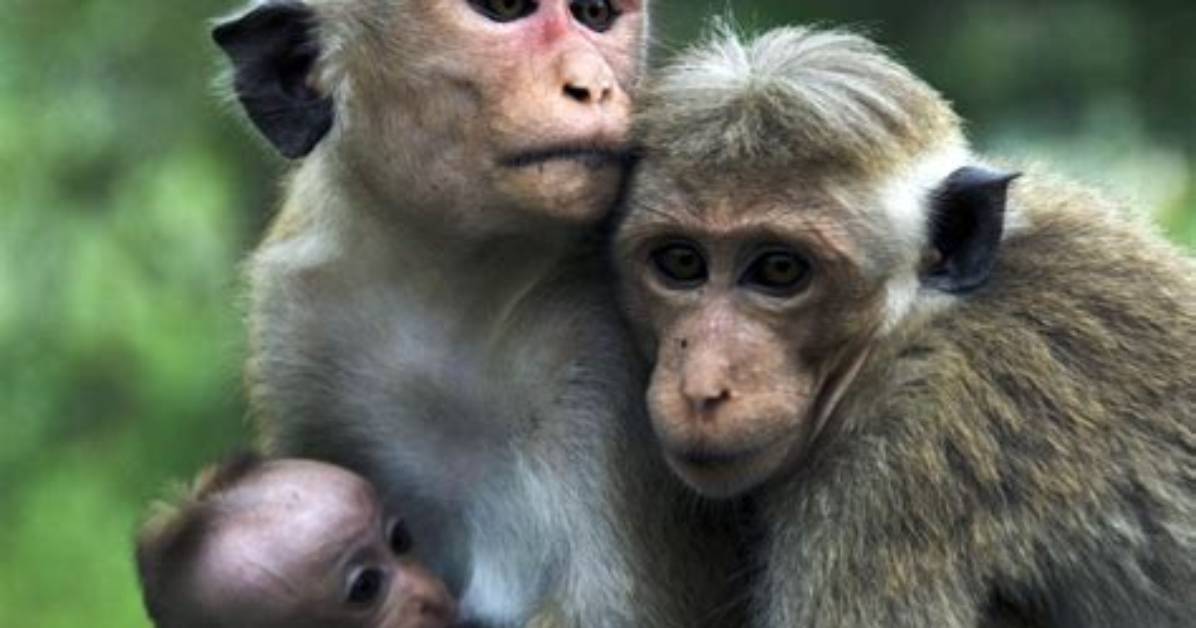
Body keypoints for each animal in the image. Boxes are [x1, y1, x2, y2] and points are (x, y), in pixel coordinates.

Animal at [210, 1, 740, 626]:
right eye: (506, 10)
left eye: (594, 15)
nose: (593, 85)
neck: (455, 289)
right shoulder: (298, 325)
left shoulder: (599, 358)